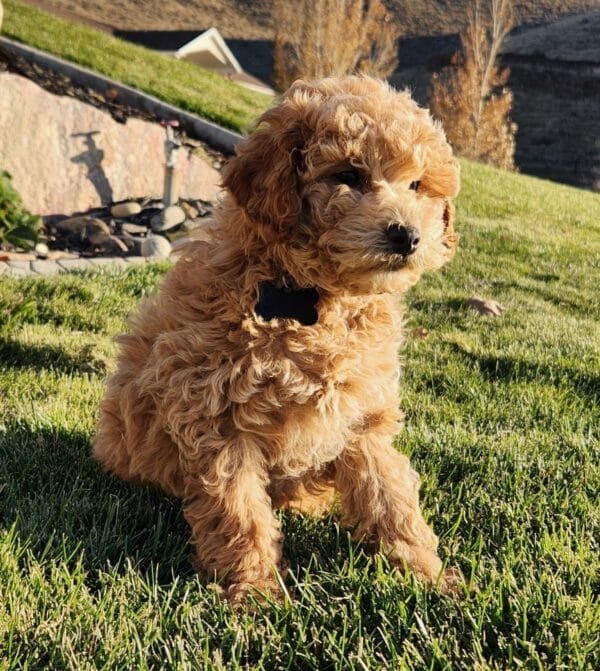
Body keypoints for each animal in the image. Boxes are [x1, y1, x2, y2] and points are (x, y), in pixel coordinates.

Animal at [92, 76, 460, 600]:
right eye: (347, 175)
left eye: (417, 185)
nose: (407, 236)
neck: (315, 300)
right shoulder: (214, 410)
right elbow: (239, 508)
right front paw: (253, 592)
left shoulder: (362, 414)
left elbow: (389, 493)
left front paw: (425, 573)